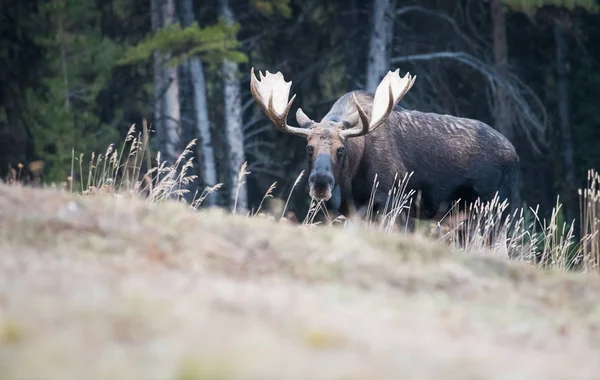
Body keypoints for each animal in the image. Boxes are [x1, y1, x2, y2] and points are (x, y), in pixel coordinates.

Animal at [248, 68, 520, 235]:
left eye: (341, 149)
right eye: (309, 147)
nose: (321, 183)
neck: (351, 183)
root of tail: (515, 154)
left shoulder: (392, 201)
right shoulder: (349, 212)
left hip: (494, 209)